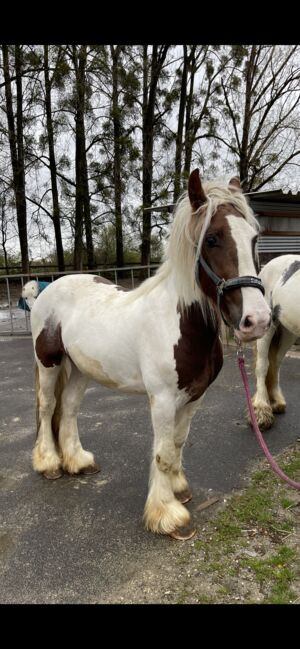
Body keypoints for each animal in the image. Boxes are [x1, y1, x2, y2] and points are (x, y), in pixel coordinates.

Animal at [29, 167, 270, 536]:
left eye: (254, 238)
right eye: (212, 239)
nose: (257, 320)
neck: (179, 323)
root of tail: (49, 287)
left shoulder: (194, 397)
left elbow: (178, 444)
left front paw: (179, 489)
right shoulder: (163, 400)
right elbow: (163, 453)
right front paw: (166, 514)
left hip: (81, 369)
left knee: (68, 408)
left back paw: (78, 461)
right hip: (49, 362)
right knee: (47, 407)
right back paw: (49, 463)